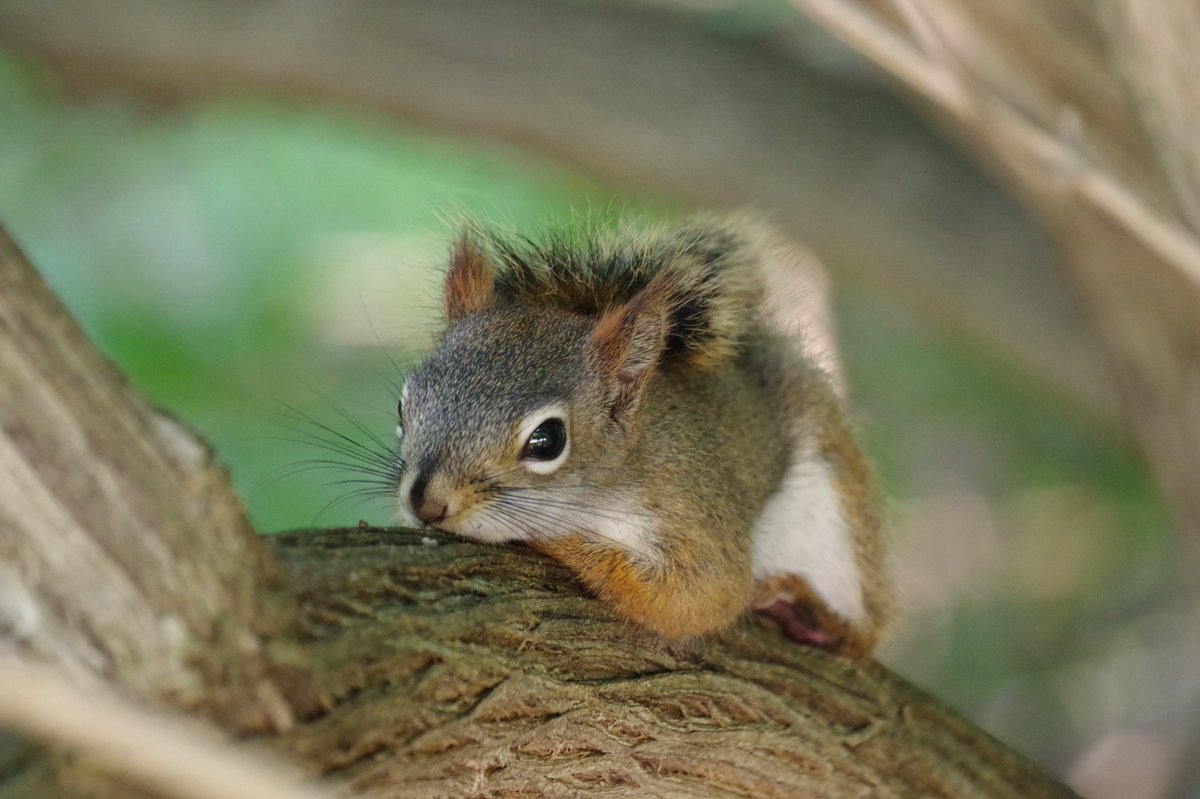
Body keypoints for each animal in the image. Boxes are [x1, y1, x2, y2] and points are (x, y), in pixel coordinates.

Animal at [393, 216, 889, 657]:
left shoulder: (691, 513)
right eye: (403, 406)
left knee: (860, 641)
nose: (425, 504)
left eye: (548, 440)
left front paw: (547, 539)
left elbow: (698, 596)